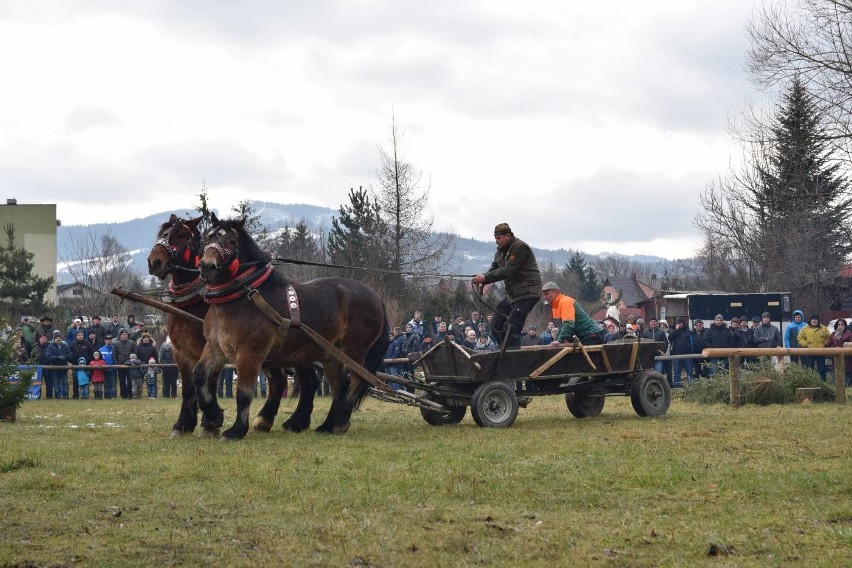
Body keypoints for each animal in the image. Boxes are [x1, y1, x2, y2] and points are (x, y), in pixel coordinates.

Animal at [146, 215, 320, 438]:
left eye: (182, 235)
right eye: (162, 234)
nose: (154, 262)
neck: (193, 302)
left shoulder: (216, 347)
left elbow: (210, 383)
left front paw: (210, 422)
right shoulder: (181, 351)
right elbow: (189, 387)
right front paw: (183, 424)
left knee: (308, 381)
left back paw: (297, 421)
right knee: (279, 380)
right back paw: (265, 420)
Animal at [195, 211, 388, 438]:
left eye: (232, 241)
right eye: (207, 238)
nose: (207, 266)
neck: (243, 296)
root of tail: (374, 296)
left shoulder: (250, 353)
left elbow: (243, 393)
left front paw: (236, 430)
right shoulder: (216, 348)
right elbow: (199, 376)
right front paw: (214, 415)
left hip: (353, 351)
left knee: (357, 380)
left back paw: (340, 421)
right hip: (331, 355)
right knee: (340, 386)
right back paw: (327, 425)